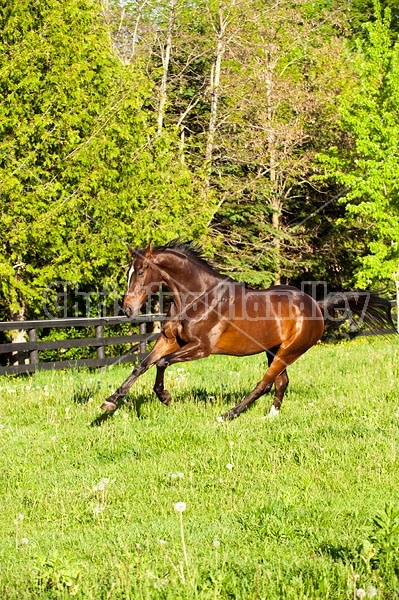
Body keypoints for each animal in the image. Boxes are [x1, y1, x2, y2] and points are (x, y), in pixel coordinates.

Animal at [101, 240, 396, 422]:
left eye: (141, 272)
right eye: (129, 272)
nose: (127, 309)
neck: (197, 297)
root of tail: (316, 305)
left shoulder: (201, 348)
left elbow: (161, 363)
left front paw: (165, 397)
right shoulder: (170, 340)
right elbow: (142, 365)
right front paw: (110, 402)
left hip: (290, 351)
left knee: (264, 384)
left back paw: (227, 415)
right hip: (273, 350)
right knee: (281, 382)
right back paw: (271, 416)